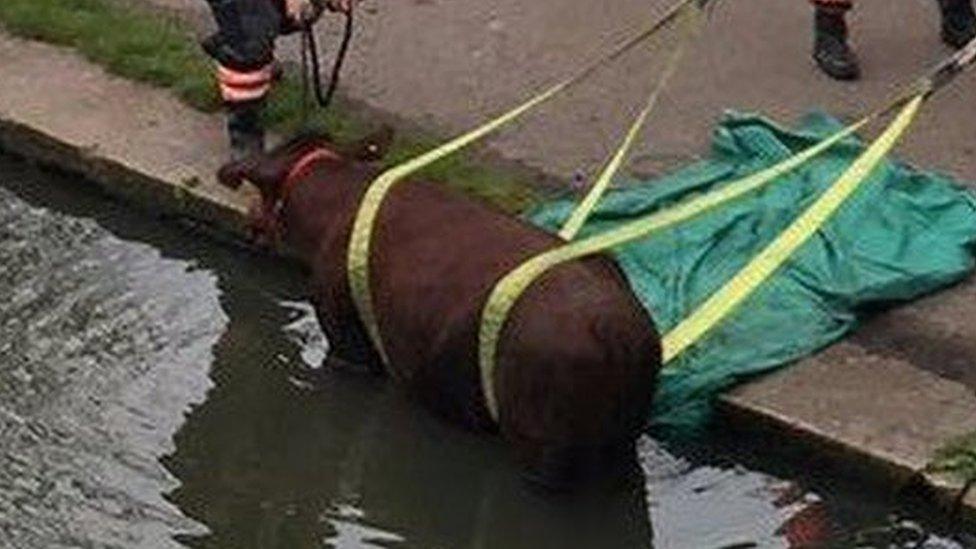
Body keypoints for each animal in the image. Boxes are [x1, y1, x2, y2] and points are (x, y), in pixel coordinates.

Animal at [220, 135, 664, 486]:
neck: (323, 218)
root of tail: (624, 340)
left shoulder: (348, 343)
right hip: (622, 448)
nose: (247, 222)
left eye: (259, 192)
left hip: (545, 449)